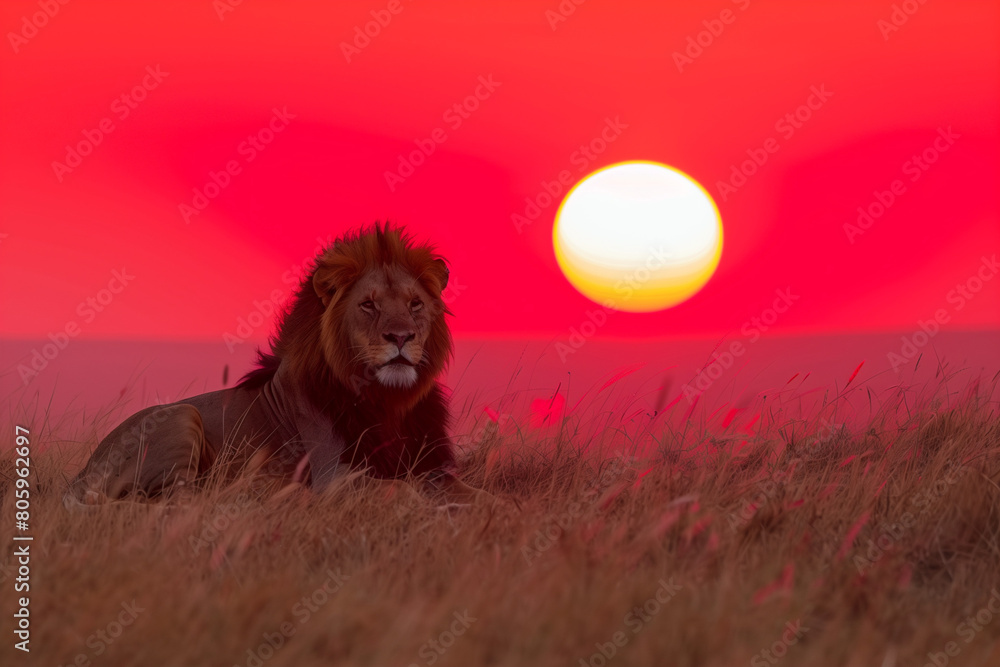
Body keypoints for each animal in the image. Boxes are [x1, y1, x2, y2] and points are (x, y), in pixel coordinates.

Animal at [64, 222, 482, 507]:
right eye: (368, 305)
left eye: (415, 304)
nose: (400, 337)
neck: (389, 402)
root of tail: (79, 474)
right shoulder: (335, 476)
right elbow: (404, 490)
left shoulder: (431, 467)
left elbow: (478, 495)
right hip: (181, 416)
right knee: (177, 500)